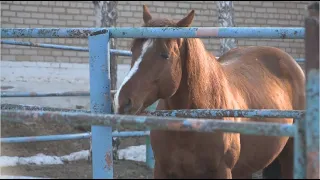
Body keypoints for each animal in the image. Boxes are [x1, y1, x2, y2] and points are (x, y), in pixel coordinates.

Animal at [114, 5, 306, 179]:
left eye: (165, 55)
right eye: (133, 50)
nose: (122, 101)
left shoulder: (222, 171)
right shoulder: (162, 170)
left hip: (290, 156)